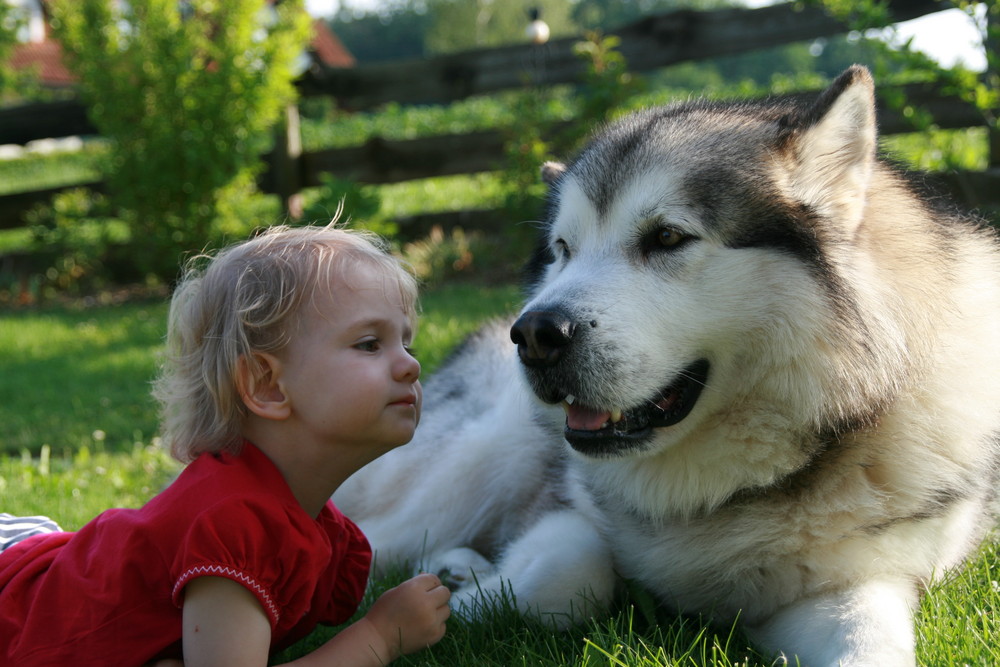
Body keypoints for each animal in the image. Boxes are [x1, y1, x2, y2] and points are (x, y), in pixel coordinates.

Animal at [336, 66, 1000, 667]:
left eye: (667, 238)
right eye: (563, 249)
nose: (534, 335)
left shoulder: (854, 583)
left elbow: (868, 645)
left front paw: (457, 590)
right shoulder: (560, 506)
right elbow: (570, 575)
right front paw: (448, 606)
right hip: (472, 466)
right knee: (373, 536)